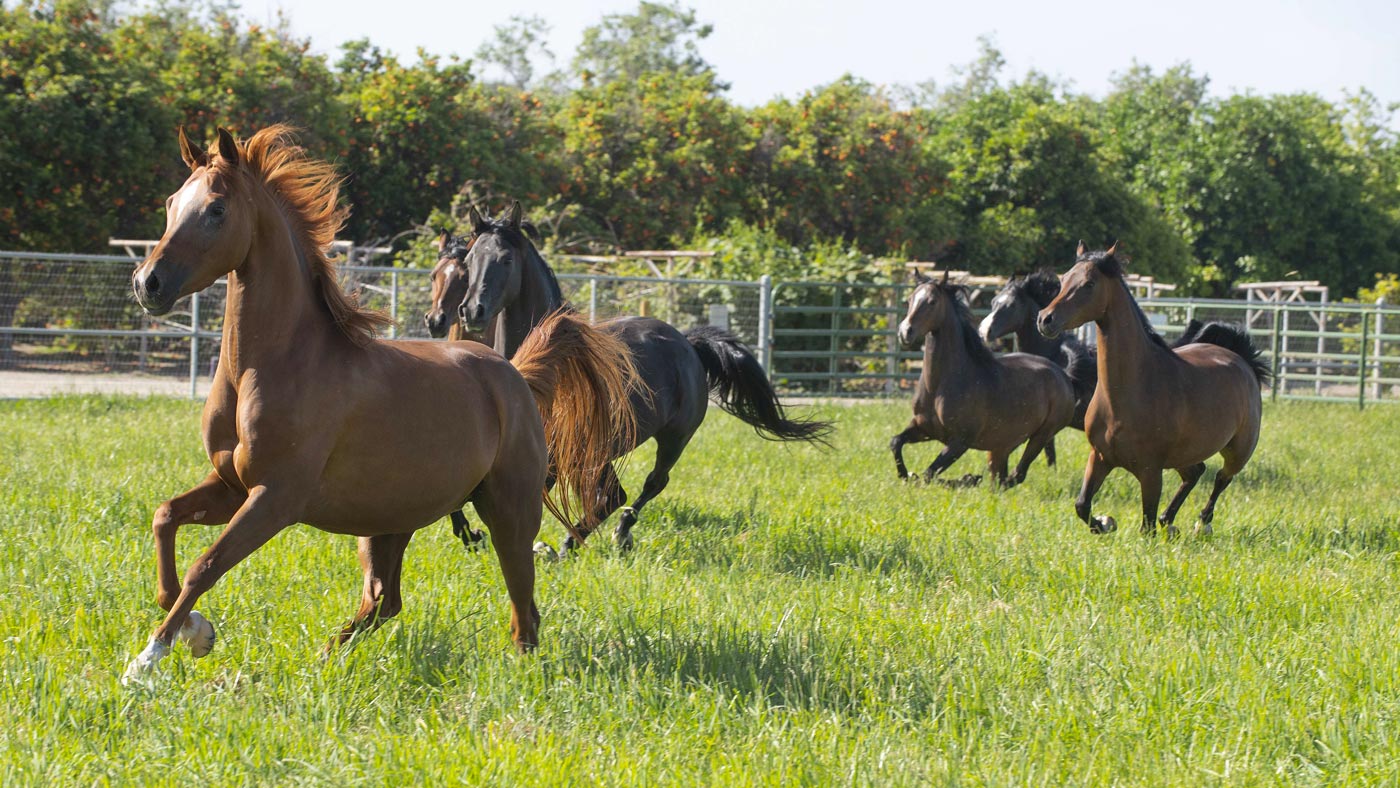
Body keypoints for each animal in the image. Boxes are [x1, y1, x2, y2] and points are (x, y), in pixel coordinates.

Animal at [121, 126, 640, 683]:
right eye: (172, 203)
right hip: (387, 522)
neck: (276, 365)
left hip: (508, 508)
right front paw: (197, 631)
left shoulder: (275, 498)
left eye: (216, 209)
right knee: (383, 600)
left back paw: (518, 671)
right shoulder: (232, 485)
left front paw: (147, 660)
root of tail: (515, 376)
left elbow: (206, 565)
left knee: (522, 602)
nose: (147, 283)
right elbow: (165, 519)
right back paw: (324, 660)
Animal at [449, 203, 832, 553]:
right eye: (470, 260)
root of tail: (688, 343)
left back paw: (608, 536)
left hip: (673, 438)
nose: (472, 311)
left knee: (646, 486)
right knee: (615, 495)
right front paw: (471, 535)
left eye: (505, 259)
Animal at [889, 271, 1080, 487]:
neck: (939, 385)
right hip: (1002, 446)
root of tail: (1063, 375)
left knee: (1015, 475)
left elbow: (929, 474)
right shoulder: (923, 428)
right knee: (1000, 478)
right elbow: (896, 442)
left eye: (931, 301)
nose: (905, 331)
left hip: (1041, 435)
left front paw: (967, 478)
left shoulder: (960, 441)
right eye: (910, 299)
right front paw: (904, 474)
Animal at [1036, 242, 1267, 537]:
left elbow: (1146, 527)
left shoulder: (1150, 472)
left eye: (1089, 284)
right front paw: (1105, 523)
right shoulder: (1099, 457)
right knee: (1196, 472)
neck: (1127, 395)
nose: (1045, 319)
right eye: (1064, 279)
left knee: (1221, 478)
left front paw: (1115, 524)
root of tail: (1241, 359)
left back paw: (1201, 522)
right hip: (1186, 453)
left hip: (1239, 451)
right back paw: (1169, 520)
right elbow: (1082, 506)